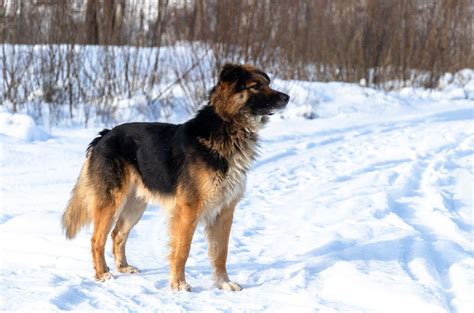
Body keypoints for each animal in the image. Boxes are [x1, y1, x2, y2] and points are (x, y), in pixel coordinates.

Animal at [61, 63, 290, 290]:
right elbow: (182, 250)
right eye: (256, 86)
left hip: (135, 205)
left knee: (117, 234)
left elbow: (221, 253)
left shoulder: (225, 211)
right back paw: (103, 274)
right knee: (96, 239)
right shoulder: (188, 210)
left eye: (267, 83)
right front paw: (179, 284)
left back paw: (123, 267)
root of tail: (104, 135)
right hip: (111, 202)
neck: (227, 127)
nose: (287, 97)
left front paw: (223, 283)